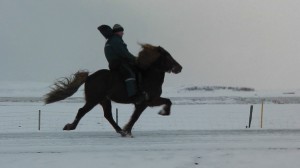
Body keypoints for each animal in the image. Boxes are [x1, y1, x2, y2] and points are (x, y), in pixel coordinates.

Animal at [43, 43, 182, 136]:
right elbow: (137, 116)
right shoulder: (147, 101)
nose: (179, 68)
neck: (149, 76)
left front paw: (127, 130)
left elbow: (138, 114)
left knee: (108, 115)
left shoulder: (146, 102)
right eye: (167, 56)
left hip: (104, 100)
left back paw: (120, 130)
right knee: (82, 111)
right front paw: (163, 112)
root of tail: (89, 77)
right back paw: (70, 126)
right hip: (94, 100)